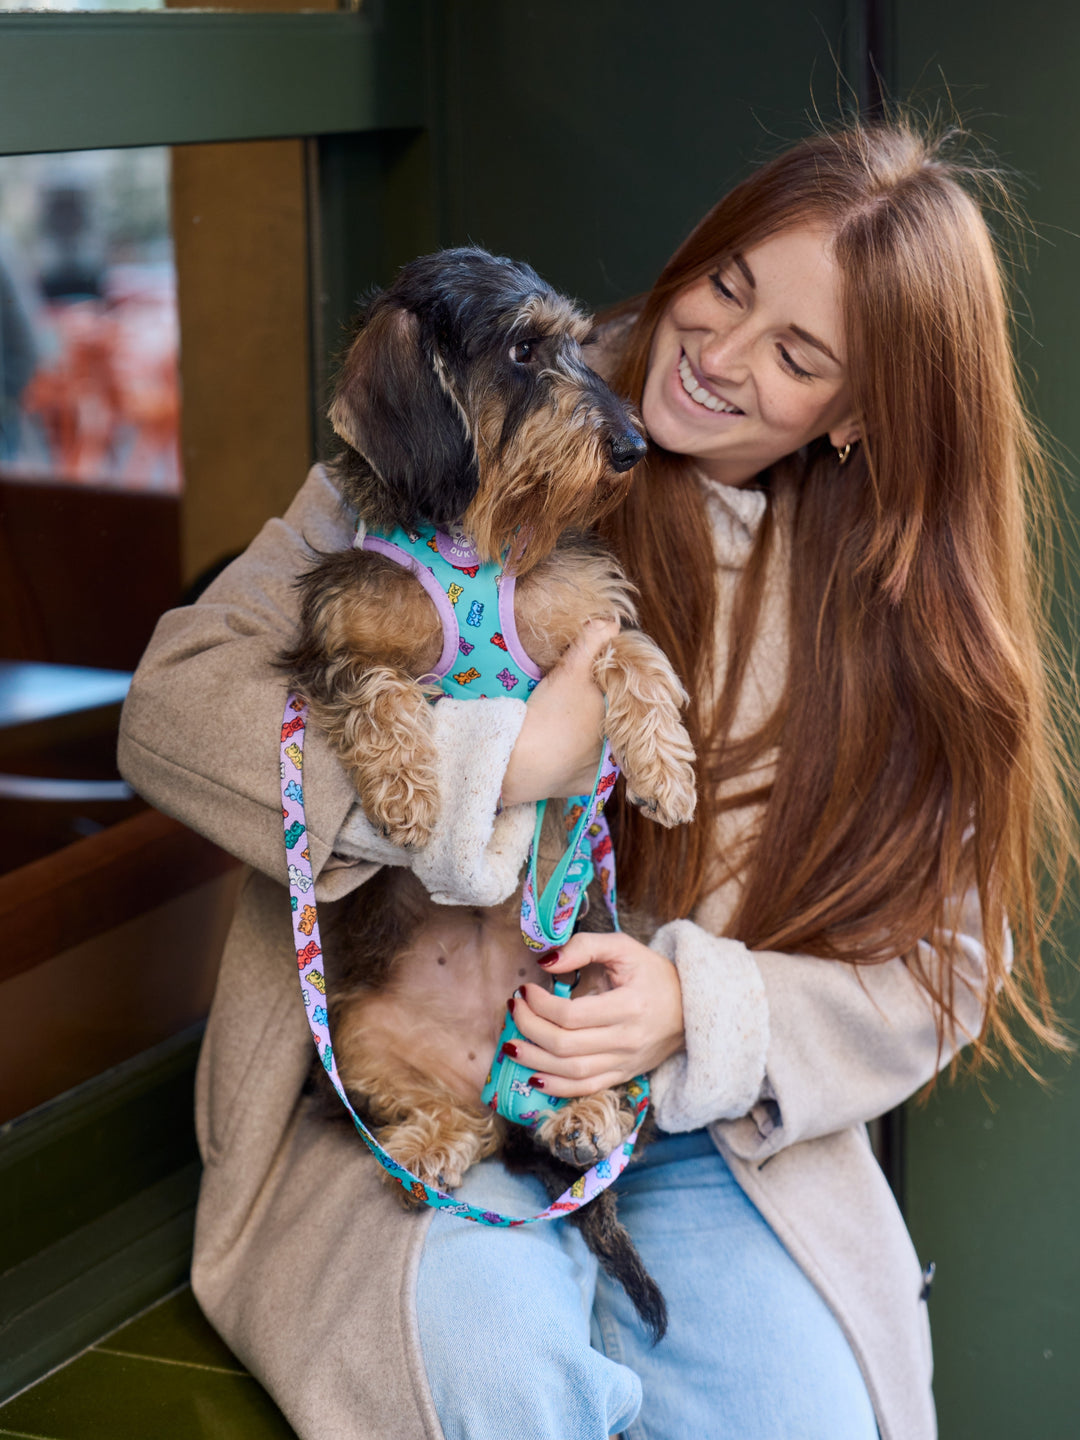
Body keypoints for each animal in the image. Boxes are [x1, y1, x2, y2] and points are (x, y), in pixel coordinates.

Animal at [283, 250, 696, 1336]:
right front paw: (409, 793)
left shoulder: (589, 615)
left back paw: (584, 1115)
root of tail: (488, 1061)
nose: (634, 446)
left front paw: (664, 768)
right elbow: (381, 691)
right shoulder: (335, 642)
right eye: (520, 349)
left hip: (595, 968)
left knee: (569, 1102)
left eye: (578, 345)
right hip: (358, 1034)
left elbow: (636, 659)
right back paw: (431, 1146)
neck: (477, 533)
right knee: (455, 1119)